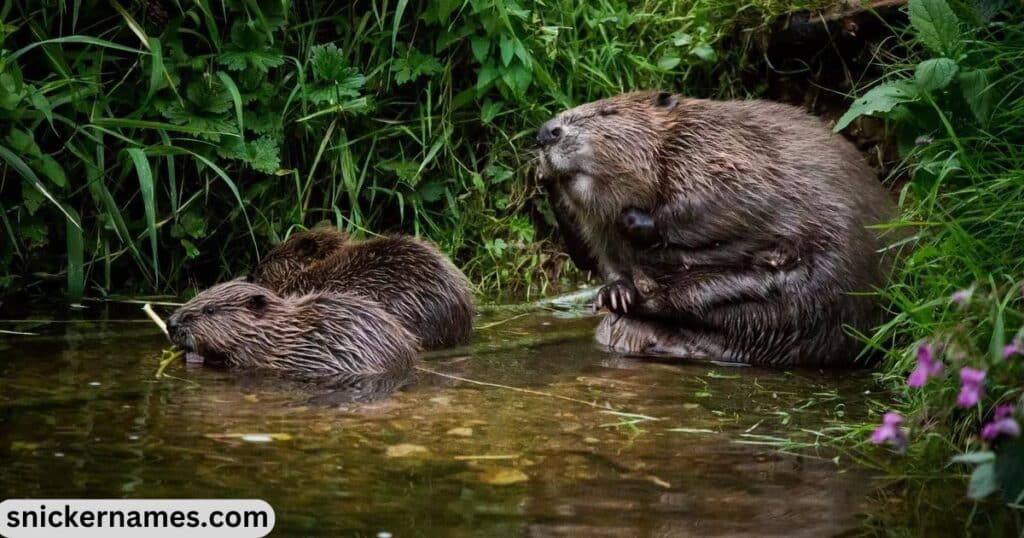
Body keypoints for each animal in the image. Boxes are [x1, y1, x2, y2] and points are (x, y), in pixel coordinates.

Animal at [540, 92, 901, 366]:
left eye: (608, 111)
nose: (547, 131)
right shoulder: (600, 231)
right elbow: (600, 259)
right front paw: (616, 291)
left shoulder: (723, 152)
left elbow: (719, 197)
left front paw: (636, 222)